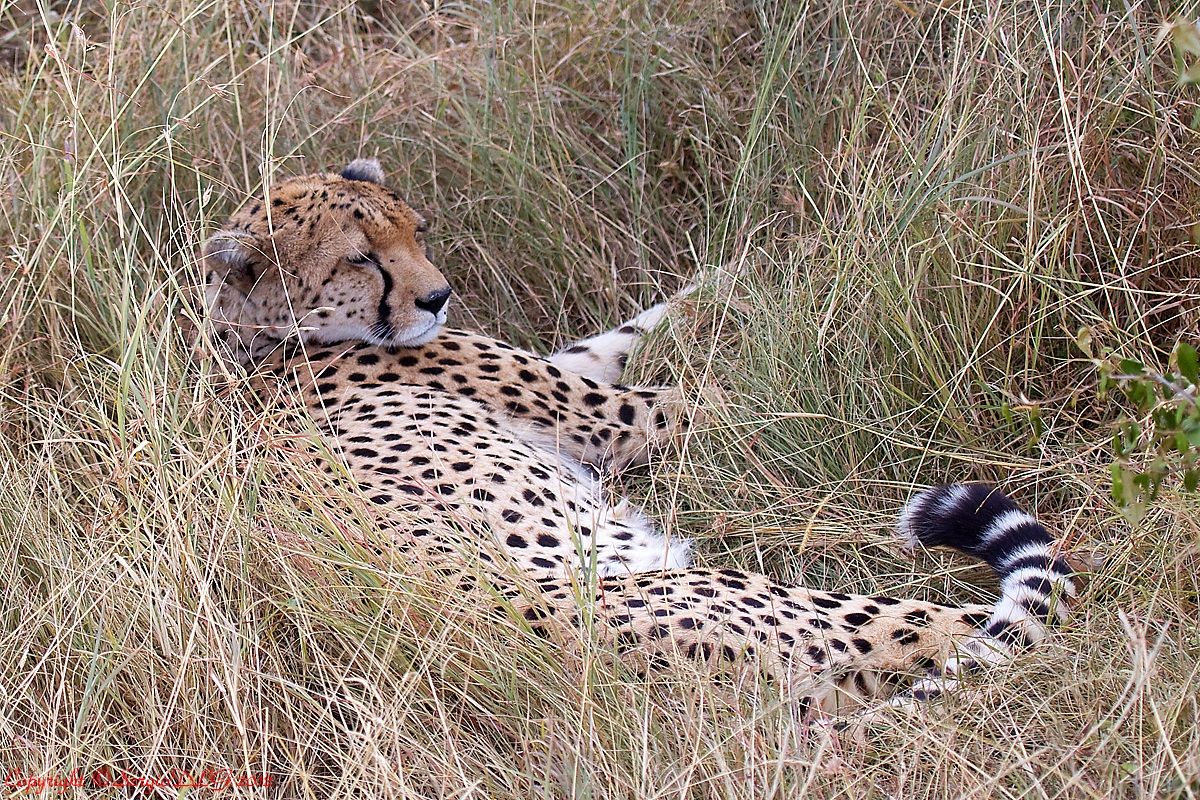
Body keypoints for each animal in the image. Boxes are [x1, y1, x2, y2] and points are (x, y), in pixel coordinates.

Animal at [198, 157, 1076, 717]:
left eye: (415, 232)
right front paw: (839, 385)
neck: (260, 343)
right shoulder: (603, 415)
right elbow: (713, 402)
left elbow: (632, 327)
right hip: (771, 602)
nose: (439, 297)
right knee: (994, 628)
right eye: (361, 259)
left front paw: (738, 270)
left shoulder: (571, 370)